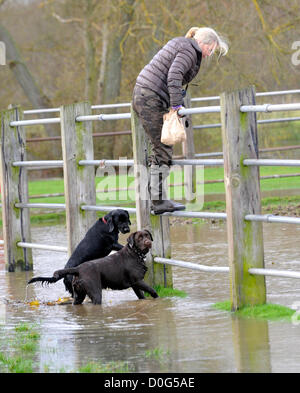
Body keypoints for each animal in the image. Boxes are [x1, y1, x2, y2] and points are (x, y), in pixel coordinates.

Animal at [27, 231, 159, 304]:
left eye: (147, 235)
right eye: (139, 238)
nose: (148, 242)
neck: (135, 254)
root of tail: (77, 269)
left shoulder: (135, 285)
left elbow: (141, 296)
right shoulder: (138, 281)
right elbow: (153, 291)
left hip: (79, 295)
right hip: (95, 293)